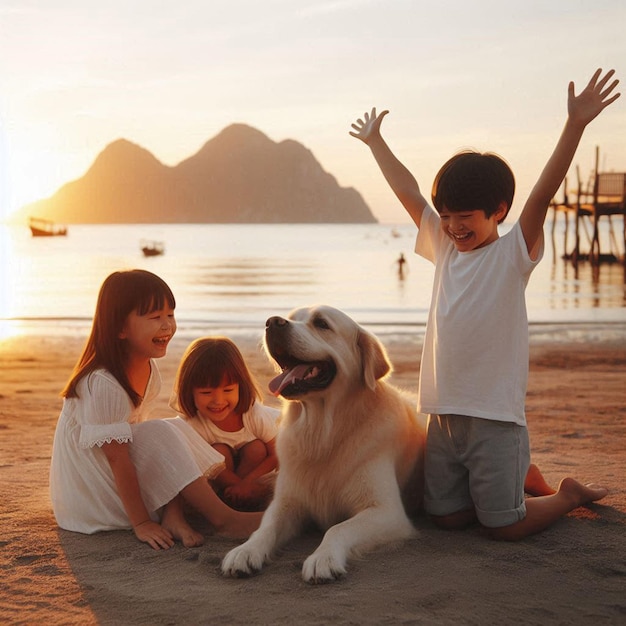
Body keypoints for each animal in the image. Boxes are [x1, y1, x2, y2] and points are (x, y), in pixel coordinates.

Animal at [219, 304, 424, 584]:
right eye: (291, 318)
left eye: (321, 323)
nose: (272, 322)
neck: (321, 432)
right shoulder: (288, 501)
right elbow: (265, 527)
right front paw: (245, 551)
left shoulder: (387, 511)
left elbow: (338, 529)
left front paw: (323, 559)